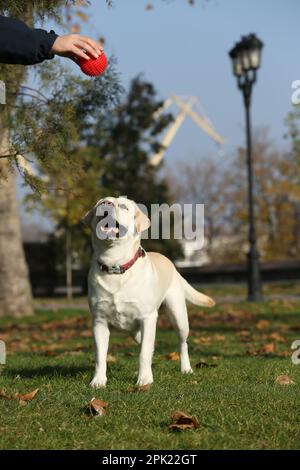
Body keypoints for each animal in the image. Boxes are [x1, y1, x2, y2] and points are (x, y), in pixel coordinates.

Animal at [81, 196, 214, 388]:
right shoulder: (99, 322)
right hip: (134, 330)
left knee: (182, 343)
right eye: (101, 203)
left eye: (123, 206)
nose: (106, 205)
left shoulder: (148, 318)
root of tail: (173, 266)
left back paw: (186, 368)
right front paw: (98, 381)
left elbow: (143, 353)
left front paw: (144, 379)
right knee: (147, 343)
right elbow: (100, 356)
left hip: (178, 316)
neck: (115, 266)